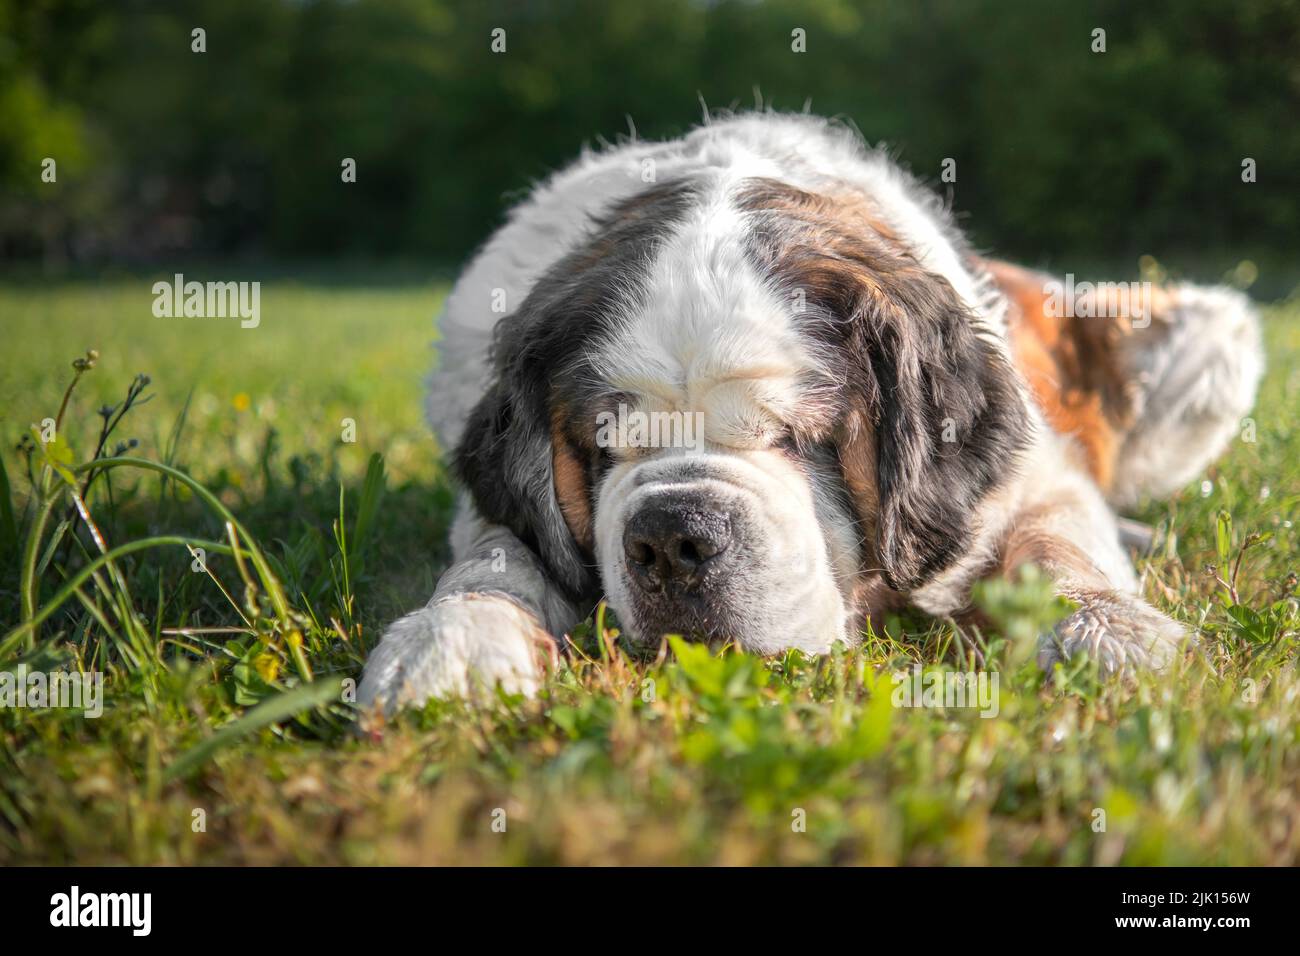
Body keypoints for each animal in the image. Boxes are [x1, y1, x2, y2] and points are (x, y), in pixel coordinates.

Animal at [356, 111, 1258, 712]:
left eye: (798, 437)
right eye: (604, 447)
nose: (672, 537)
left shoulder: (1031, 480)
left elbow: (1060, 546)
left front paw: (1113, 636)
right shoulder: (493, 503)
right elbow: (498, 554)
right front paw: (450, 640)